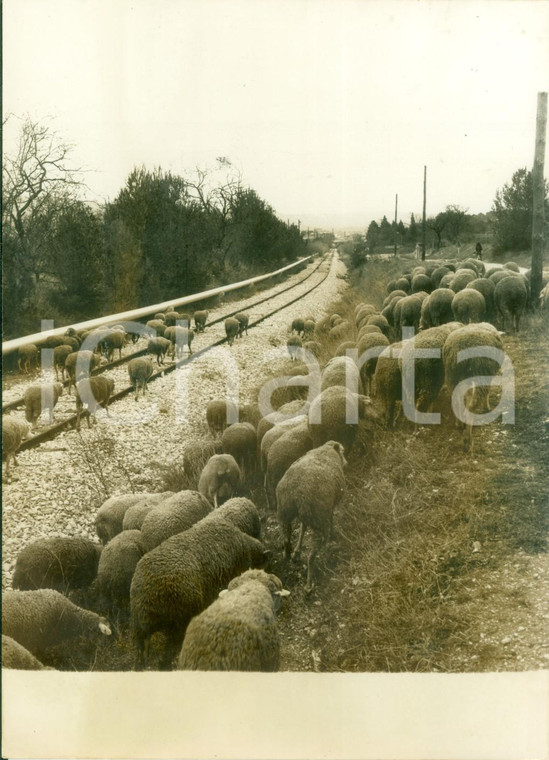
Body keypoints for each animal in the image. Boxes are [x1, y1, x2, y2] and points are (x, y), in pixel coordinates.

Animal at [276, 440, 344, 592]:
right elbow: (331, 518)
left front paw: (297, 550)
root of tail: (295, 492)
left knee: (286, 539)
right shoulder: (329, 507)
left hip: (285, 512)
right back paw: (309, 584)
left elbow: (302, 528)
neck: (327, 450)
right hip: (319, 518)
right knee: (311, 556)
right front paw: (334, 535)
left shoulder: (307, 516)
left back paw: (289, 555)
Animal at [444, 320, 504, 452]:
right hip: (478, 373)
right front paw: (487, 407)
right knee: (471, 406)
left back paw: (459, 424)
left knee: (456, 401)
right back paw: (468, 440)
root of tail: (458, 349)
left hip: (452, 375)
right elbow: (488, 392)